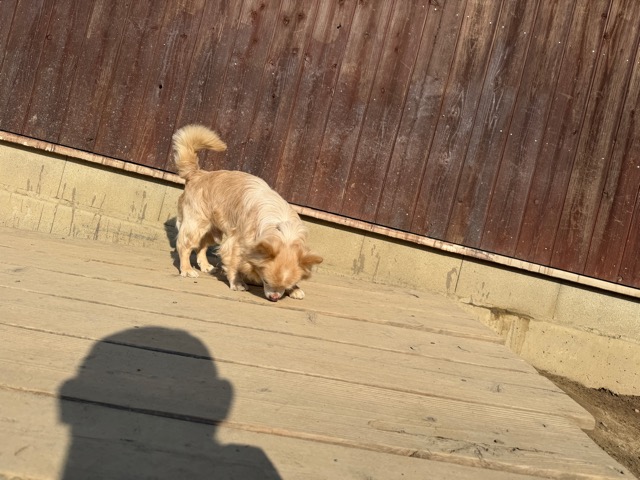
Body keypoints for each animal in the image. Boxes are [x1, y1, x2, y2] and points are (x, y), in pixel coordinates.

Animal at [173, 124, 323, 301]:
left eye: (285, 286)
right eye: (266, 280)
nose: (274, 297)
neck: (282, 231)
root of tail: (198, 173)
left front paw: (295, 289)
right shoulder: (237, 243)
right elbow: (234, 262)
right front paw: (237, 282)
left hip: (212, 230)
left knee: (201, 245)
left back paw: (206, 266)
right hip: (196, 224)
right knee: (185, 245)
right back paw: (187, 269)